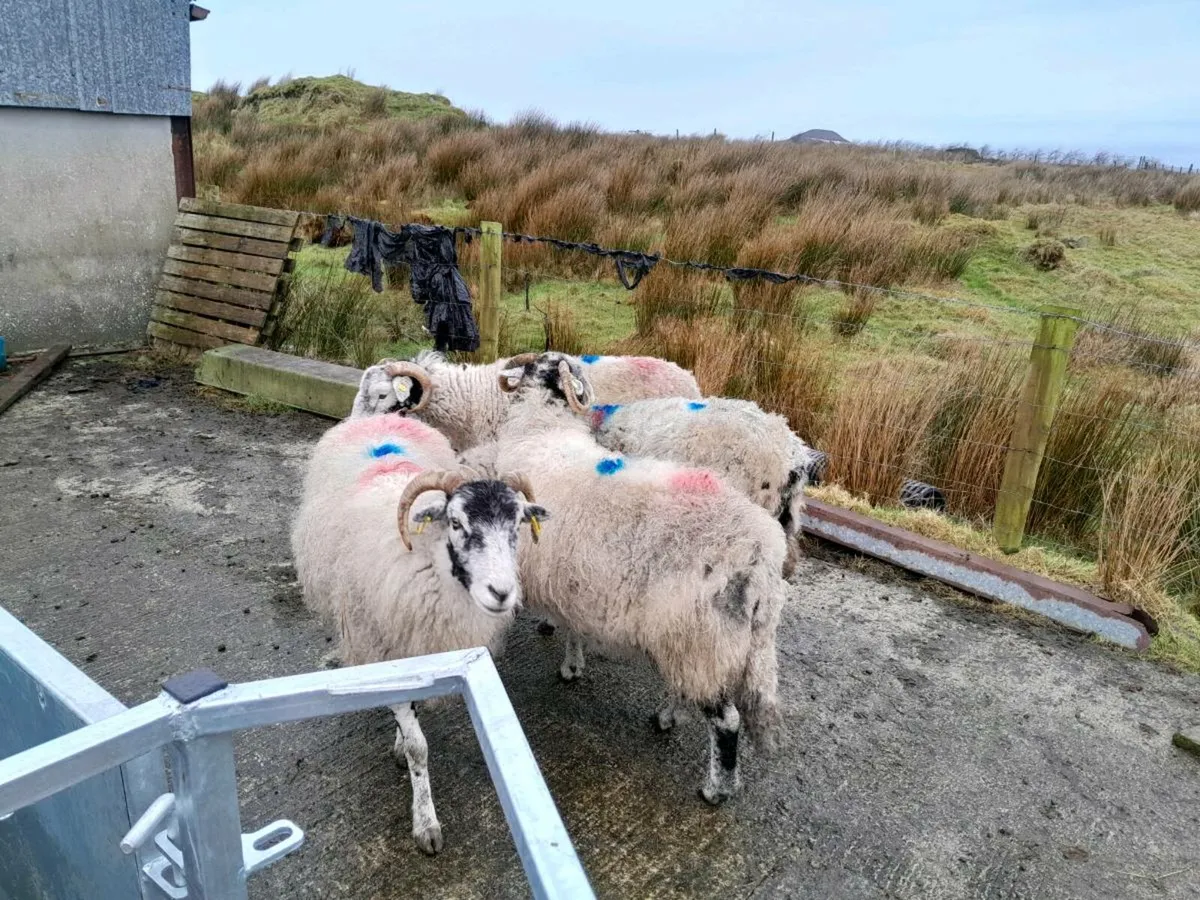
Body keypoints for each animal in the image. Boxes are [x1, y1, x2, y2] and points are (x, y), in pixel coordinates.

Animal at [290, 412, 546, 855]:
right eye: (457, 522)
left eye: (517, 525)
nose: (502, 593)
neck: (428, 561)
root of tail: (378, 416)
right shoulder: (383, 649)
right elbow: (417, 746)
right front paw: (426, 821)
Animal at [485, 352, 788, 804]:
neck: (542, 428)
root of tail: (762, 554)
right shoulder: (573, 577)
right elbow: (574, 625)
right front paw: (573, 662)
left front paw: (564, 657)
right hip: (698, 637)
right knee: (690, 687)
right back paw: (666, 717)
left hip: (703, 637)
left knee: (726, 720)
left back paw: (715, 788)